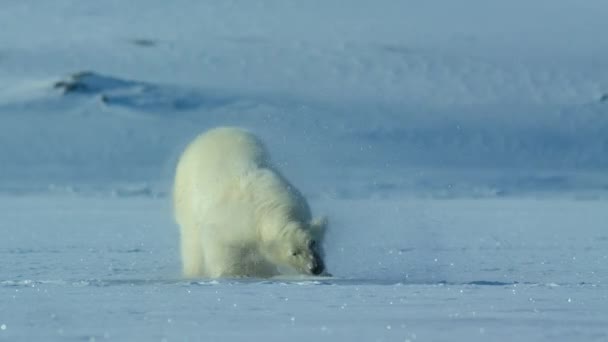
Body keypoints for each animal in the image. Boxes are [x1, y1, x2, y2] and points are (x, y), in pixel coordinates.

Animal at [173, 127, 330, 280]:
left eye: (313, 243)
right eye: (294, 253)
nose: (315, 268)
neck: (268, 207)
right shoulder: (232, 222)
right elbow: (220, 245)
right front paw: (234, 273)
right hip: (188, 200)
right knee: (192, 242)